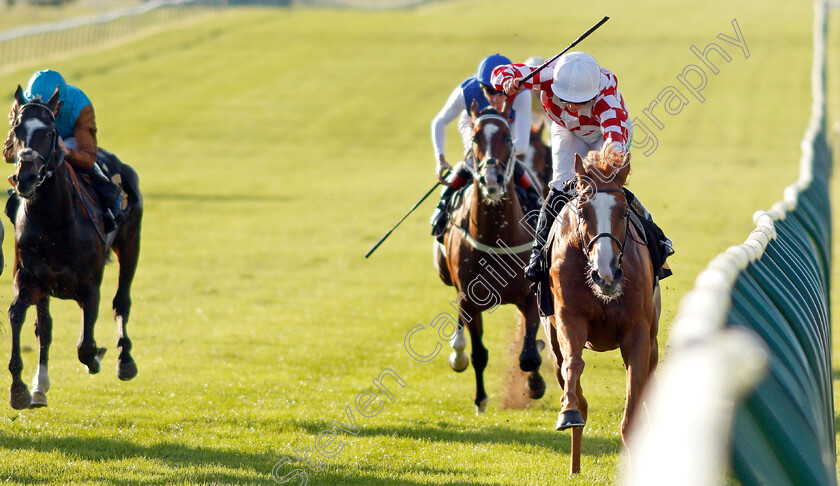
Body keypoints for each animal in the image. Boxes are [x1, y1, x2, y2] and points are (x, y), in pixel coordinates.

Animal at [6, 86, 143, 410]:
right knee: (44, 326)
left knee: (122, 302)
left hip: (131, 243)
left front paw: (98, 357)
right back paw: (40, 386)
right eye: (17, 129)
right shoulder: (29, 279)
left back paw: (124, 360)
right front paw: (19, 389)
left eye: (49, 131)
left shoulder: (89, 287)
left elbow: (85, 346)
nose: (26, 178)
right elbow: (19, 316)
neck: (55, 222)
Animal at [436, 100, 548, 412]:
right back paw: (457, 352)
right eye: (475, 139)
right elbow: (479, 353)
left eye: (507, 138)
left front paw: (535, 385)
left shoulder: (529, 294)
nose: (491, 179)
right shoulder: (470, 299)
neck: (498, 235)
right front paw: (480, 399)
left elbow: (529, 354)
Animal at [544, 153, 664, 474]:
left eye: (623, 212)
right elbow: (573, 365)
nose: (605, 274)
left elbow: (634, 399)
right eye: (583, 211)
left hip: (653, 342)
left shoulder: (638, 334)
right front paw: (568, 412)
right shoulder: (569, 318)